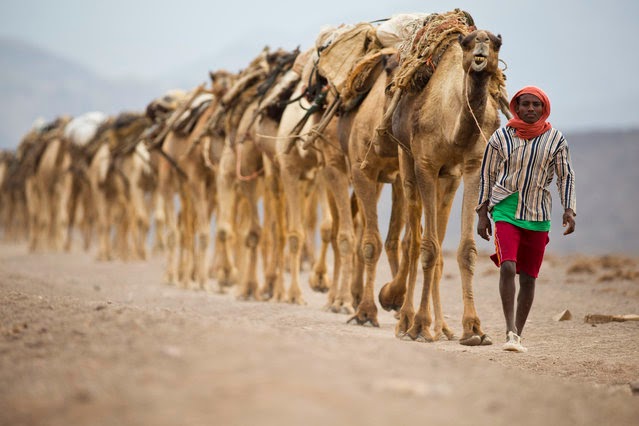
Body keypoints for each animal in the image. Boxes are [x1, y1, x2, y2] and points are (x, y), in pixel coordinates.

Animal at [390, 15, 510, 344]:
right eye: (467, 43)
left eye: (497, 43)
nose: (481, 44)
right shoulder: (426, 164)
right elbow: (428, 248)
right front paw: (419, 326)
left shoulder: (471, 166)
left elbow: (466, 249)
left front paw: (474, 329)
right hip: (407, 161)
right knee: (413, 241)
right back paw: (406, 322)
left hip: (449, 181)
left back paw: (441, 327)